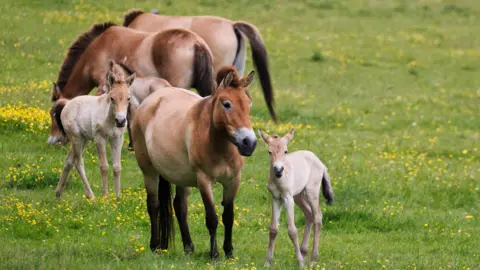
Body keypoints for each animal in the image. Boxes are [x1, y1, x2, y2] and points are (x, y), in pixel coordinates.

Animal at [53, 60, 136, 198]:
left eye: (128, 98)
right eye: (112, 98)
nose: (120, 121)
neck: (109, 119)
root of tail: (67, 105)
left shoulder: (117, 139)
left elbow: (117, 167)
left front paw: (118, 197)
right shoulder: (100, 139)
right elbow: (104, 167)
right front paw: (105, 196)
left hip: (84, 139)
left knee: (69, 161)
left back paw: (58, 194)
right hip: (76, 138)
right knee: (78, 162)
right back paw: (91, 196)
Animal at [131, 66, 256, 258]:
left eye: (248, 104)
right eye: (227, 104)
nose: (249, 143)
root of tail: (151, 101)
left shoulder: (233, 180)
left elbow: (228, 216)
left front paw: (229, 252)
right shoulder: (204, 181)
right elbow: (212, 218)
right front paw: (214, 255)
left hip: (181, 177)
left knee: (180, 207)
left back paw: (189, 247)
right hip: (149, 172)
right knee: (153, 205)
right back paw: (155, 246)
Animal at [258, 129, 334, 268]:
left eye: (286, 151)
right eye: (269, 152)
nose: (278, 170)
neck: (279, 180)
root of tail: (320, 163)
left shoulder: (288, 199)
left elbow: (292, 231)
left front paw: (301, 263)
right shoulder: (276, 198)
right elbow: (273, 229)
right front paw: (267, 262)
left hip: (310, 193)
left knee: (317, 217)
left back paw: (312, 260)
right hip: (299, 196)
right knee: (309, 214)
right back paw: (304, 252)